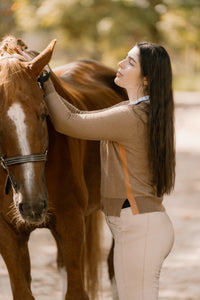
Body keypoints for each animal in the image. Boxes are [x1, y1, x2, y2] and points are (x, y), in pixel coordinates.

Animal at [0, 35, 126, 300]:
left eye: (43, 113)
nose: (33, 204)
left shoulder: (71, 223)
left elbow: (76, 290)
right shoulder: (8, 232)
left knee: (114, 265)